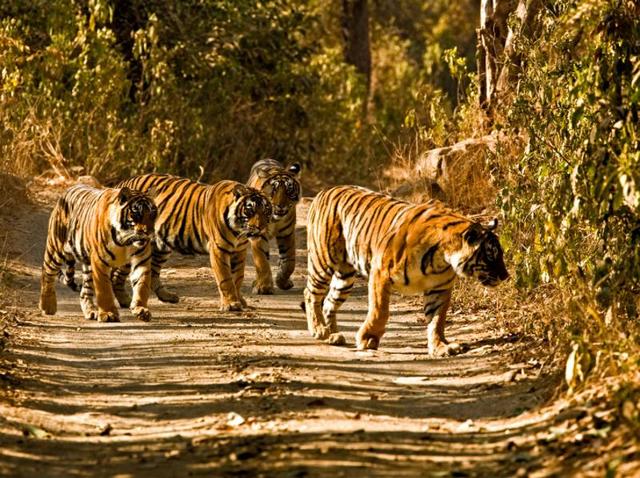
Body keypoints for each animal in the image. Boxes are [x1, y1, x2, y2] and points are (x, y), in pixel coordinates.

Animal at [39, 185, 158, 324]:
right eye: (136, 213)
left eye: (153, 213)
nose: (149, 232)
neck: (125, 240)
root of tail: (68, 190)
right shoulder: (100, 261)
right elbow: (104, 288)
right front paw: (108, 313)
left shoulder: (141, 260)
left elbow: (142, 285)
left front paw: (141, 310)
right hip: (56, 249)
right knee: (47, 273)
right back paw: (47, 305)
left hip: (88, 265)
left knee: (85, 291)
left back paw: (90, 311)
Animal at [111, 174, 272, 312]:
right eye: (250, 210)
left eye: (266, 210)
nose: (261, 228)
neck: (238, 231)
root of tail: (122, 184)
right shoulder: (219, 250)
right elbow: (226, 278)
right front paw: (231, 304)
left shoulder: (239, 251)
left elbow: (237, 277)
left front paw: (240, 301)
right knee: (116, 276)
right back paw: (125, 301)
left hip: (161, 246)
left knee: (154, 272)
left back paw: (167, 296)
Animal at [248, 159, 302, 294]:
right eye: (273, 190)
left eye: (289, 190)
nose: (280, 205)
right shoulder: (258, 234)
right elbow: (262, 261)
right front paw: (264, 287)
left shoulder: (287, 233)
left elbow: (289, 262)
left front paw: (282, 281)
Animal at [304, 185, 510, 356]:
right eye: (491, 255)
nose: (506, 276)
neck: (442, 257)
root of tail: (325, 191)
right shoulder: (380, 274)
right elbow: (380, 311)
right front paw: (368, 339)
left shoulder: (439, 289)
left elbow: (437, 320)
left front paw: (440, 347)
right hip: (322, 261)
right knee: (311, 294)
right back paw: (319, 330)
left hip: (344, 277)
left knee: (329, 301)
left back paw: (332, 335)